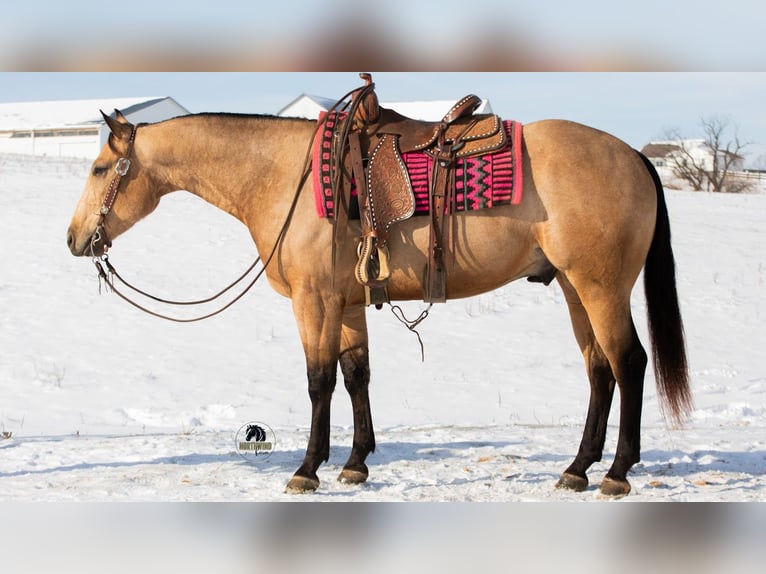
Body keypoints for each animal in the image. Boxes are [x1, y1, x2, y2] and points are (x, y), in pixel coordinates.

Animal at [66, 107, 691, 498]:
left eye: (99, 168)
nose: (74, 239)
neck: (284, 177)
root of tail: (633, 156)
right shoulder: (344, 304)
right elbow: (356, 375)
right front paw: (356, 463)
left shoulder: (314, 301)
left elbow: (319, 381)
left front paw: (308, 469)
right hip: (572, 287)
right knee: (599, 370)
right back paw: (578, 468)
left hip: (600, 286)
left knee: (629, 363)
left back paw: (616, 472)